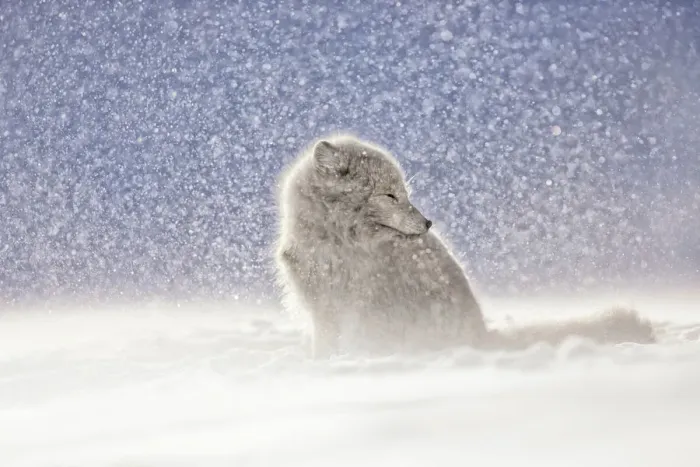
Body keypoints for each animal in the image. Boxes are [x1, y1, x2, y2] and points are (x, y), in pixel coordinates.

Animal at [274, 133, 656, 358]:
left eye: (404, 193)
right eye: (390, 196)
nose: (428, 223)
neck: (338, 244)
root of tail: (482, 338)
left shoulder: (356, 310)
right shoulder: (323, 308)